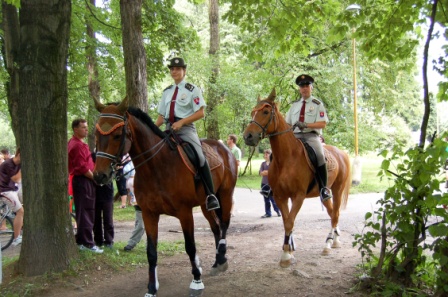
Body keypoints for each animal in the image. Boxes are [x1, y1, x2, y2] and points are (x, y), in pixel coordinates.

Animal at [91, 96, 238, 294]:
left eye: (116, 135)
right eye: (96, 134)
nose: (100, 176)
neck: (156, 167)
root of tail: (224, 148)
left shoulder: (185, 213)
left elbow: (190, 247)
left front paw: (196, 281)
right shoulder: (149, 214)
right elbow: (151, 252)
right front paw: (152, 288)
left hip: (225, 195)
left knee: (223, 224)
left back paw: (221, 257)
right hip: (205, 203)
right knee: (215, 227)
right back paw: (217, 262)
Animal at [243, 87, 352, 266]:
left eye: (265, 111)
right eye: (253, 112)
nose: (248, 136)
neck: (287, 158)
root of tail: (341, 152)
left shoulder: (298, 196)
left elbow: (289, 221)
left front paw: (286, 255)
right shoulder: (280, 196)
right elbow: (287, 221)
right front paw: (289, 249)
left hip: (337, 190)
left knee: (335, 214)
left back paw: (329, 243)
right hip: (325, 193)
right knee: (331, 213)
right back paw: (333, 240)